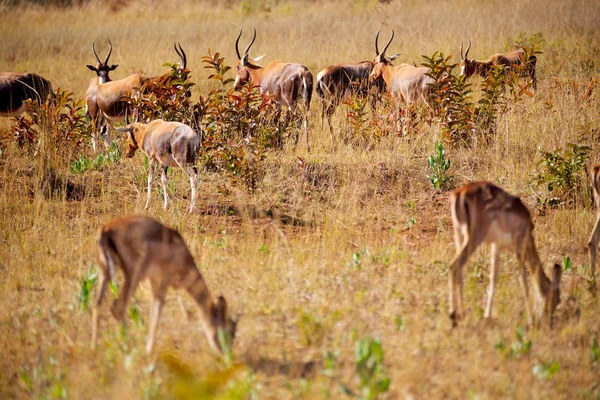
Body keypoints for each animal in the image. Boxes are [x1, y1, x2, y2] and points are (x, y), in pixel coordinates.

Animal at [92, 214, 238, 354]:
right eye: (228, 330)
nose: (226, 353)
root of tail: (105, 229)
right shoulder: (164, 280)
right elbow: (159, 307)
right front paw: (149, 350)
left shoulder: (152, 280)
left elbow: (154, 306)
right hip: (133, 276)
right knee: (117, 307)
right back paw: (132, 346)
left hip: (104, 272)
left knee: (97, 304)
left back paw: (95, 347)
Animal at [450, 183, 564, 326]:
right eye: (557, 299)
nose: (549, 320)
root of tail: (460, 193)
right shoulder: (519, 249)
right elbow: (523, 279)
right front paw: (531, 320)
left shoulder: (496, 246)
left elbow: (493, 278)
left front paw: (487, 315)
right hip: (473, 238)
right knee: (454, 266)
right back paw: (454, 315)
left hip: (459, 236)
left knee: (458, 270)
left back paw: (461, 315)